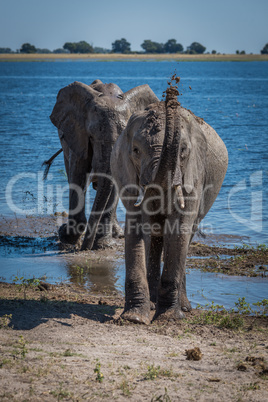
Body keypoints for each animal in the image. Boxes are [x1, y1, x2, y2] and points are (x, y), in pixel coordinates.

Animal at [49, 79, 158, 250]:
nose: (84, 248)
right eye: (92, 136)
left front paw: (102, 245)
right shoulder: (78, 134)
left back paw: (116, 234)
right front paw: (67, 238)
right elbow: (77, 176)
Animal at [111, 77, 228, 324]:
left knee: (186, 235)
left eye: (183, 150)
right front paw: (134, 319)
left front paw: (168, 319)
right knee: (155, 237)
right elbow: (136, 225)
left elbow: (179, 228)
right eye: (136, 150)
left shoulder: (193, 176)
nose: (172, 94)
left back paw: (183, 307)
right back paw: (154, 303)